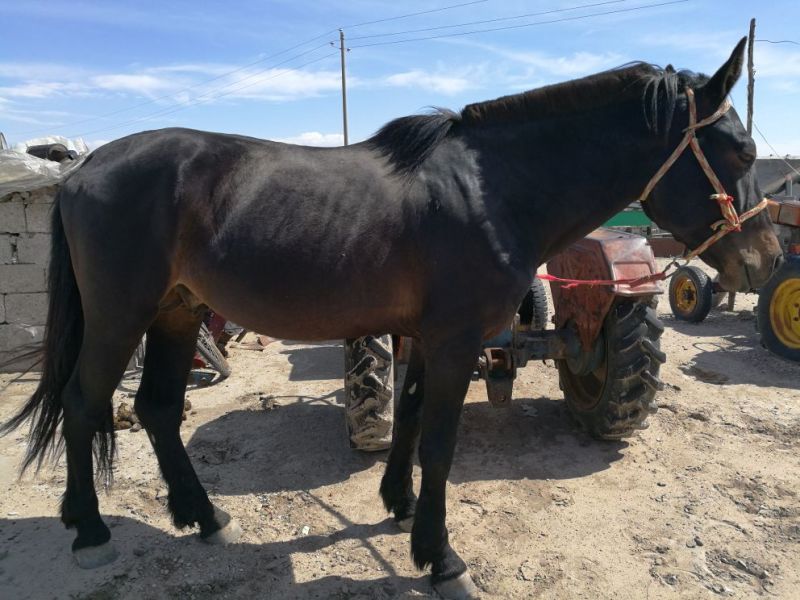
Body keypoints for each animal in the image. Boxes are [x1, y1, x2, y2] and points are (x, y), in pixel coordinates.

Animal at [2, 38, 783, 599]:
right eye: (741, 149)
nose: (768, 259)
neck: (492, 191)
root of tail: (82, 169)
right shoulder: (456, 339)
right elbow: (438, 441)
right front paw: (441, 558)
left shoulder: (425, 335)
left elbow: (407, 418)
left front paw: (400, 507)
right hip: (120, 316)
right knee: (83, 403)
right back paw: (90, 532)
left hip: (176, 312)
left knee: (159, 409)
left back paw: (204, 516)